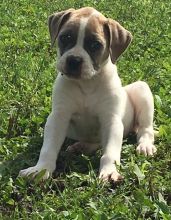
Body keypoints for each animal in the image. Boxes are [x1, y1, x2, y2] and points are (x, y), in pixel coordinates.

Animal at [19, 7, 157, 182]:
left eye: (95, 45)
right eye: (65, 37)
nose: (74, 60)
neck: (87, 83)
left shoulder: (111, 121)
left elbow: (110, 152)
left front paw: (109, 171)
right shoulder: (58, 117)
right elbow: (48, 148)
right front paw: (41, 169)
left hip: (141, 90)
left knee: (145, 128)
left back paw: (145, 145)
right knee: (96, 142)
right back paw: (81, 146)